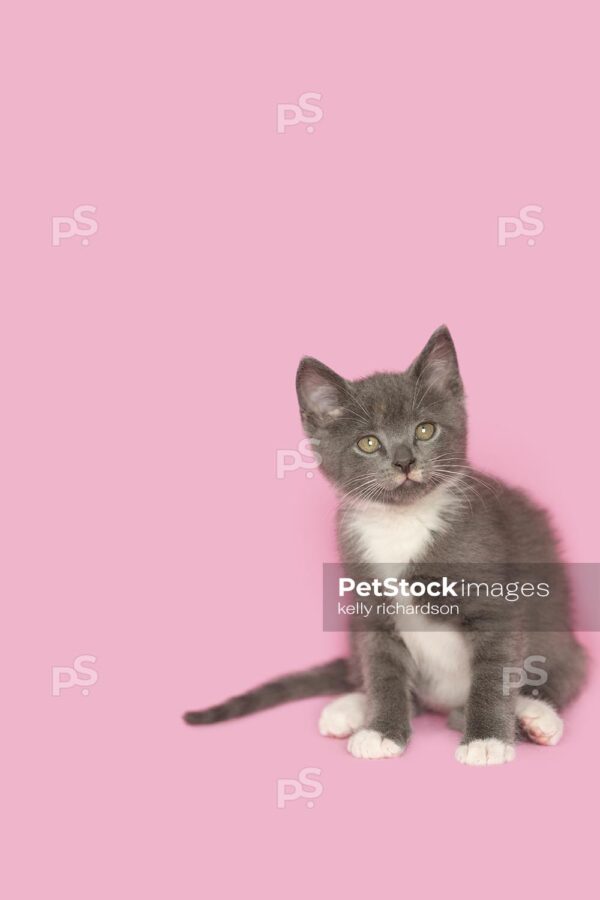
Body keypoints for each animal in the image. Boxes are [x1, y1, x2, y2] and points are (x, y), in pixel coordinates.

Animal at [184, 326, 584, 764]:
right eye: (369, 443)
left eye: (425, 429)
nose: (405, 462)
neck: (401, 522)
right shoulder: (369, 605)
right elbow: (382, 671)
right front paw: (381, 731)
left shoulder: (497, 604)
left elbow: (495, 669)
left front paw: (486, 741)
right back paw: (349, 707)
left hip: (556, 628)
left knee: (569, 671)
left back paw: (534, 715)